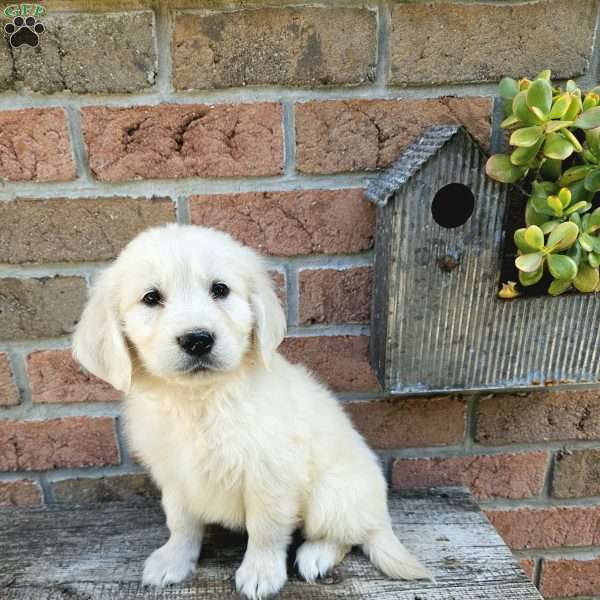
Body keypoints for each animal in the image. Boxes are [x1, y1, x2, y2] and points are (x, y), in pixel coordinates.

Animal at [72, 224, 432, 600]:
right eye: (151, 298)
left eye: (220, 290)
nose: (198, 340)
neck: (200, 400)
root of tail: (380, 513)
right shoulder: (175, 475)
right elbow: (181, 522)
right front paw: (173, 559)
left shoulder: (270, 474)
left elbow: (265, 530)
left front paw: (261, 571)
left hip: (332, 495)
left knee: (347, 535)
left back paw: (316, 555)